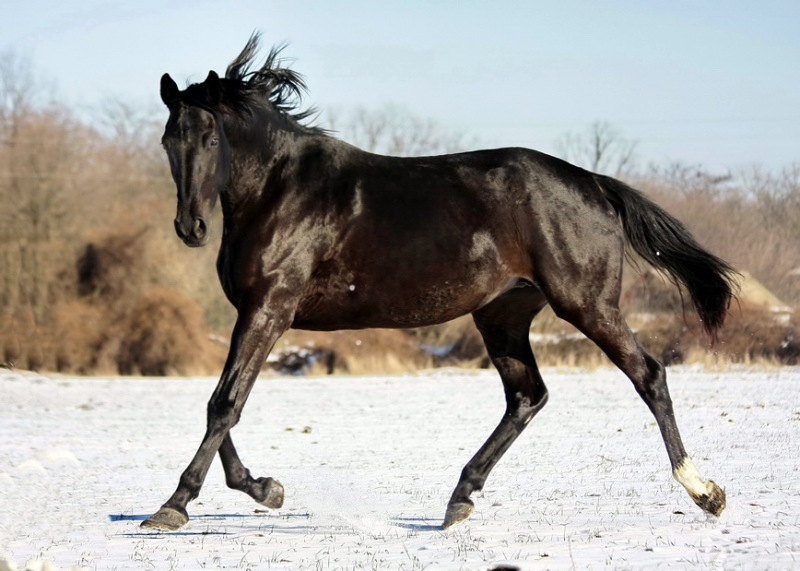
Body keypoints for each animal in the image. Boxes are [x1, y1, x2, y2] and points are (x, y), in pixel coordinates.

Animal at [141, 33, 736, 528]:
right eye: (170, 141)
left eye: (211, 138)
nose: (190, 228)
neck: (281, 191)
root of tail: (593, 182)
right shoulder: (252, 313)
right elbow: (221, 404)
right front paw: (265, 488)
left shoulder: (269, 309)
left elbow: (225, 403)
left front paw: (173, 506)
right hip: (502, 314)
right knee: (527, 396)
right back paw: (460, 499)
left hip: (586, 305)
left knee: (648, 376)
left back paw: (705, 491)